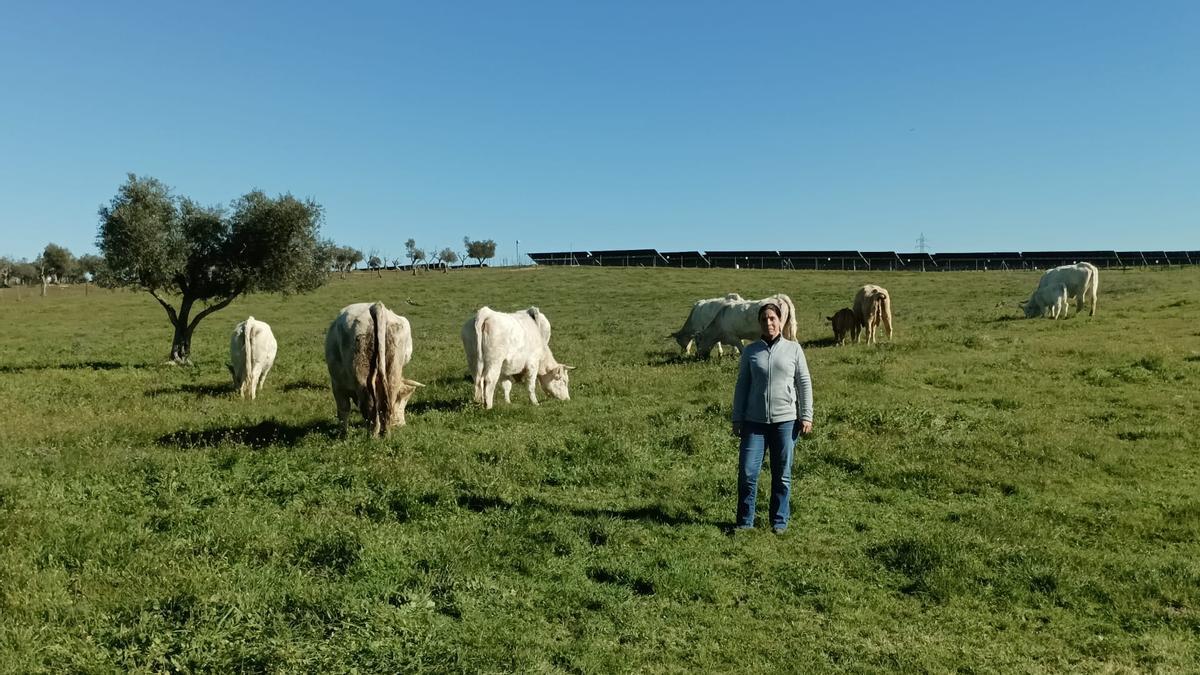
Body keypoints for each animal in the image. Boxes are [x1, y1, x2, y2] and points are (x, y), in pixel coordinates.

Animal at [324, 300, 427, 437]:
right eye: (401, 398)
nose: (401, 424)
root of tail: (376, 306)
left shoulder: (337, 385)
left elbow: (343, 410)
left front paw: (343, 435)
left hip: (361, 376)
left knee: (369, 406)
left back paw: (372, 435)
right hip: (393, 369)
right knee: (387, 401)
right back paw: (385, 433)